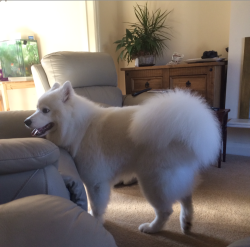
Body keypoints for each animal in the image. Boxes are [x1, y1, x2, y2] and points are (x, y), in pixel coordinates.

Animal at [24, 81, 221, 233]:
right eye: (36, 109)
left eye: (46, 110)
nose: (26, 121)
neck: (79, 126)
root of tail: (186, 127)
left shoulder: (95, 181)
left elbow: (97, 206)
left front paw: (96, 222)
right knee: (186, 196)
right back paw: (186, 223)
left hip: (153, 180)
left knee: (166, 210)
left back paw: (152, 228)